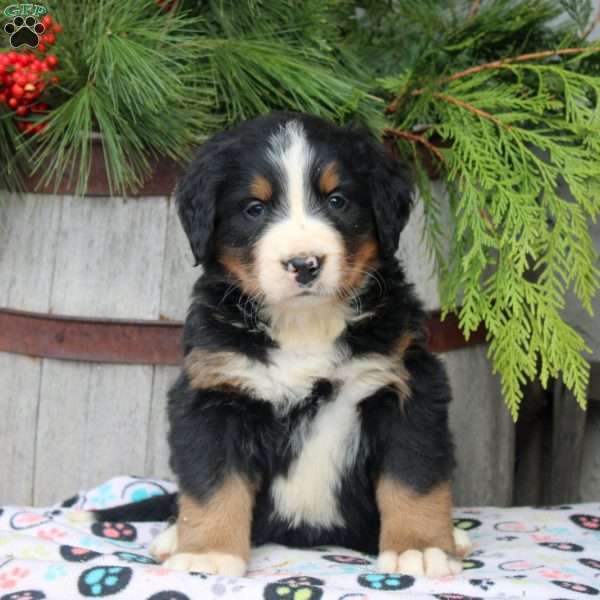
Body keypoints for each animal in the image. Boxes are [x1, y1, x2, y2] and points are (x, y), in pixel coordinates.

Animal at [91, 111, 472, 576]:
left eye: (337, 201)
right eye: (254, 209)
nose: (304, 264)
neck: (304, 325)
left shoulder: (405, 384)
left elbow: (413, 476)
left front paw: (419, 548)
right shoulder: (216, 393)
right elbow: (213, 483)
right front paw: (207, 553)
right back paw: (173, 536)